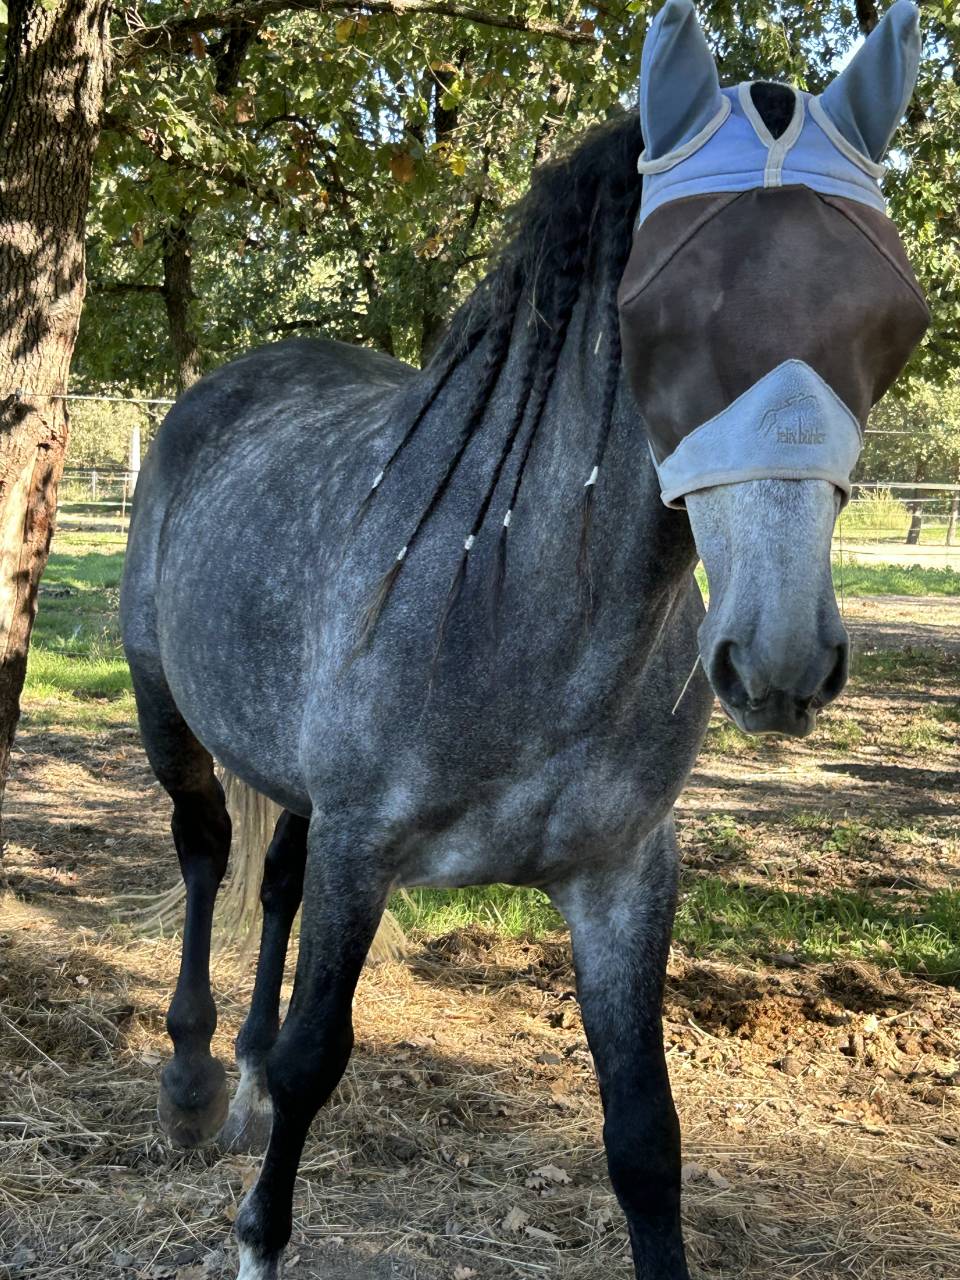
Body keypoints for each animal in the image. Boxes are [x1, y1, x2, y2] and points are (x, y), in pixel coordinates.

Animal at [119, 1, 929, 1275]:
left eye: (891, 319)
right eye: (657, 317)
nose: (783, 658)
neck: (521, 615)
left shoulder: (622, 875)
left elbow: (645, 1133)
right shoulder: (365, 848)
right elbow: (317, 1059)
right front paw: (255, 1235)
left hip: (295, 775)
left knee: (273, 882)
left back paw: (235, 1074)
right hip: (165, 706)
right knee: (205, 850)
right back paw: (195, 1078)